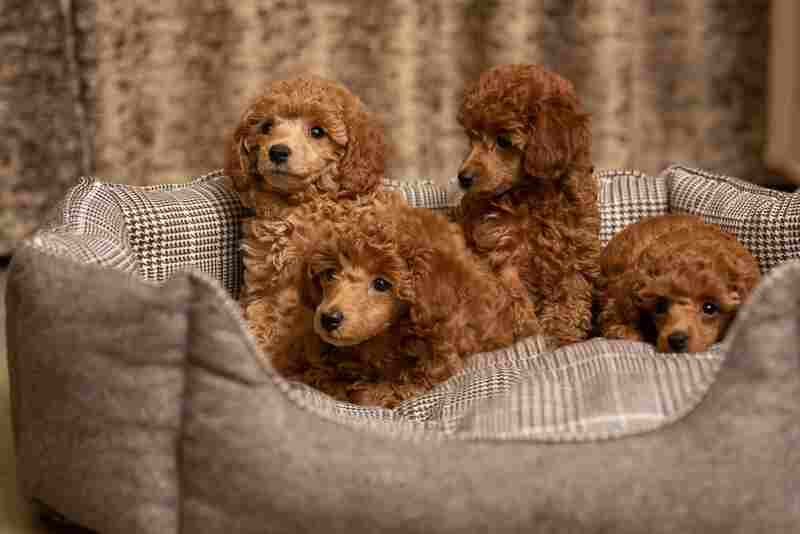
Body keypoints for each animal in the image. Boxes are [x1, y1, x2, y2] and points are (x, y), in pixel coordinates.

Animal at [223, 75, 386, 352]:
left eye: (318, 132)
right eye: (266, 127)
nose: (277, 151)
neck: (298, 204)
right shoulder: (262, 282)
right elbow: (261, 316)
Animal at [270, 195, 544, 408]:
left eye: (382, 284)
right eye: (329, 274)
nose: (329, 318)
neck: (381, 338)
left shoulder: (437, 360)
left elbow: (388, 389)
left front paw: (364, 389)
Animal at [456, 63, 600, 348]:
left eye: (503, 141)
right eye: (472, 138)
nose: (463, 178)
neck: (532, 196)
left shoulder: (573, 252)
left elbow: (569, 298)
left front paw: (561, 336)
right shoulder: (501, 254)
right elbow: (515, 299)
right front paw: (528, 334)